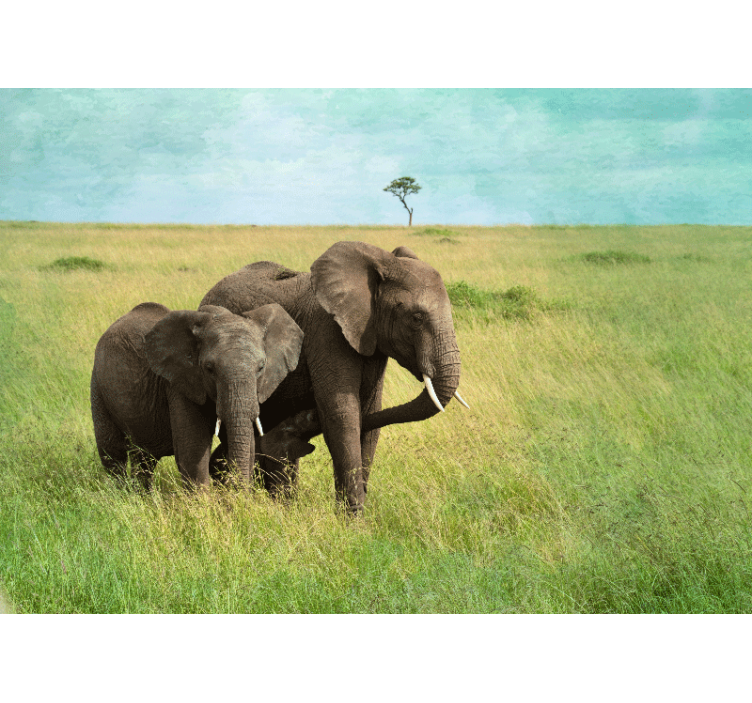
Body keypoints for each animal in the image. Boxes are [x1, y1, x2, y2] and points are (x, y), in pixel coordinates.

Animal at [90, 301, 303, 490]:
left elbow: (244, 443)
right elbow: (192, 450)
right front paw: (204, 506)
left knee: (143, 456)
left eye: (261, 367)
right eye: (209, 368)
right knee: (112, 452)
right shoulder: (179, 383)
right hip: (98, 385)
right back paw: (122, 495)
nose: (240, 495)